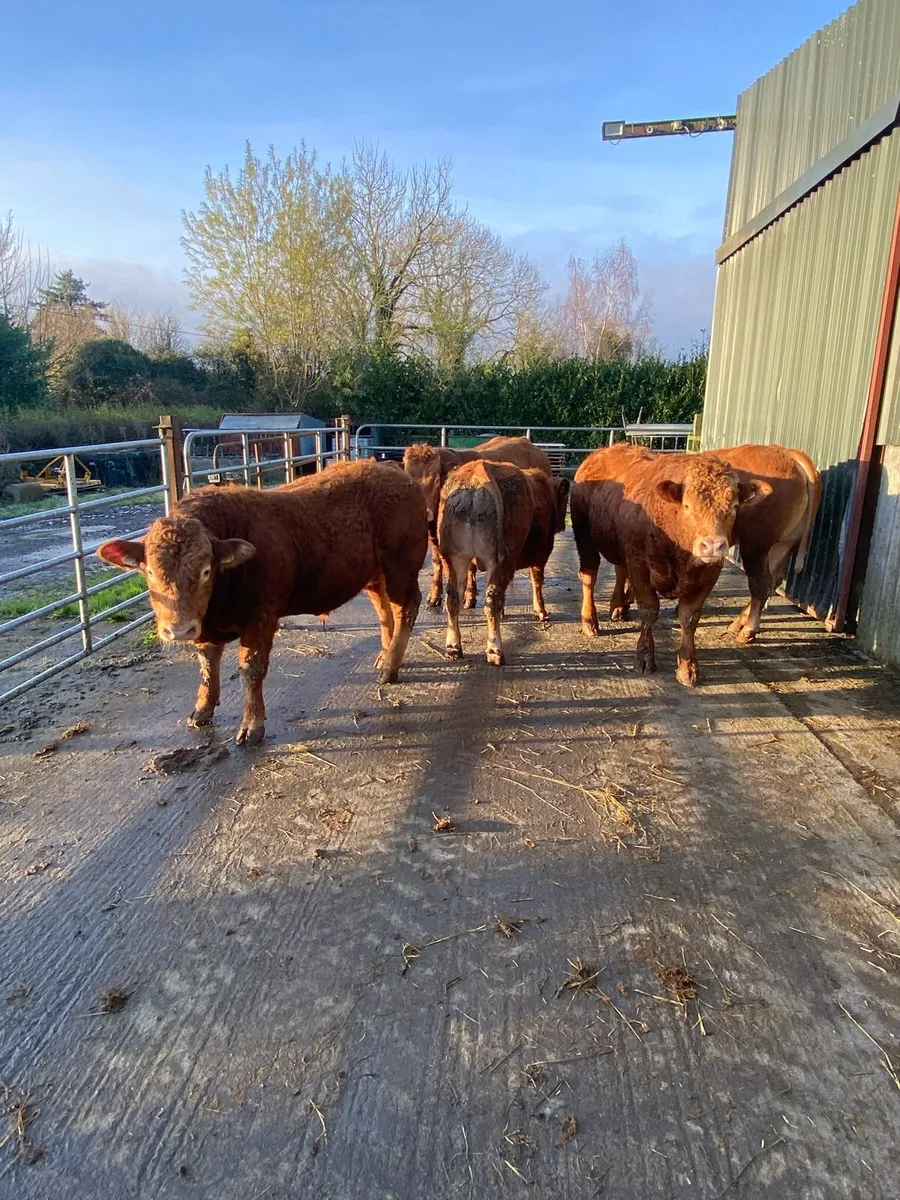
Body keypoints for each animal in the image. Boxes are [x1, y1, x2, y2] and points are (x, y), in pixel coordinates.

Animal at [96, 461, 428, 745]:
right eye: (150, 571)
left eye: (206, 570)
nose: (178, 630)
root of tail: (394, 471)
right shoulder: (205, 628)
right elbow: (207, 666)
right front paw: (202, 710)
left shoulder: (260, 620)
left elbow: (251, 669)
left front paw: (251, 726)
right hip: (375, 575)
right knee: (385, 609)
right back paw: (385, 656)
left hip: (400, 567)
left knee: (406, 607)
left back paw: (390, 668)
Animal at [403, 436, 553, 609]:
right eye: (409, 481)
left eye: (435, 480)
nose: (425, 512)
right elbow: (436, 561)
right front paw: (434, 595)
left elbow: (470, 566)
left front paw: (469, 596)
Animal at [437, 460, 570, 665]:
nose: (563, 524)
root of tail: (478, 471)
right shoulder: (541, 555)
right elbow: (537, 581)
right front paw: (541, 612)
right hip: (500, 560)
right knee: (492, 599)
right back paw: (495, 651)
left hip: (453, 557)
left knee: (453, 597)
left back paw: (453, 647)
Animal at [571, 445, 771, 686]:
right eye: (687, 505)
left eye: (734, 506)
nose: (713, 545)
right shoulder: (639, 566)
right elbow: (649, 610)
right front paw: (645, 657)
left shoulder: (709, 574)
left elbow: (689, 617)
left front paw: (687, 666)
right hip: (585, 537)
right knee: (589, 576)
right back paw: (589, 621)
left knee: (619, 570)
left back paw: (618, 606)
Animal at [712, 444, 822, 643]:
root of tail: (789, 454)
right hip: (783, 544)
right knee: (772, 581)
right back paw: (740, 623)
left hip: (755, 544)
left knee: (761, 584)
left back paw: (747, 630)